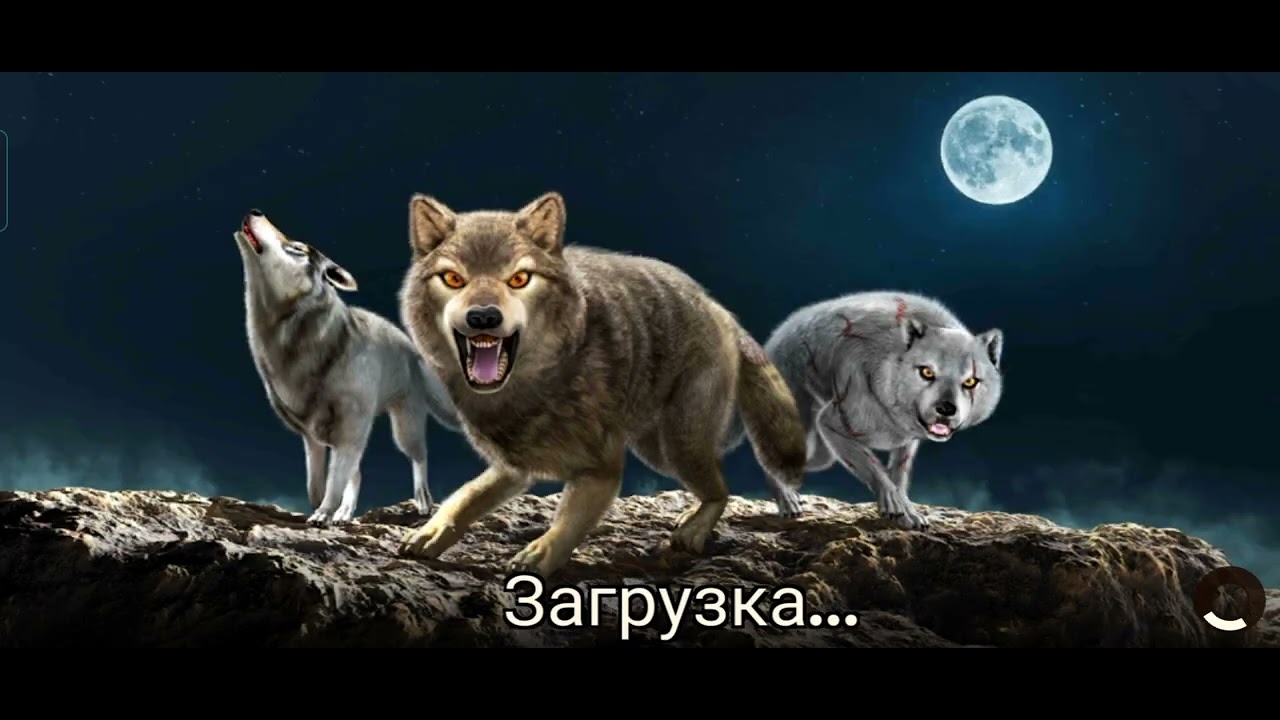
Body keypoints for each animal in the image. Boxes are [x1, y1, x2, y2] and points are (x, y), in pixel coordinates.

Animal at [235, 209, 458, 525]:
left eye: (297, 249)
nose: (255, 211)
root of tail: (411, 347)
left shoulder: (350, 430)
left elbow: (334, 480)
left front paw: (322, 514)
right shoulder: (313, 438)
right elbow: (318, 483)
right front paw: (325, 510)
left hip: (404, 425)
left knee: (419, 456)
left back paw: (423, 500)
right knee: (357, 473)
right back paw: (344, 513)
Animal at [395, 191, 809, 577]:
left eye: (519, 279)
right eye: (453, 279)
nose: (483, 317)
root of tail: (718, 308)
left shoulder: (601, 470)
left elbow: (567, 522)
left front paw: (539, 555)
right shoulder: (513, 466)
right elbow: (465, 497)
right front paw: (432, 532)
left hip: (676, 447)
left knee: (720, 490)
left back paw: (693, 530)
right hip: (655, 447)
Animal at [725, 290, 1004, 528]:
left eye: (970, 381)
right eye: (927, 372)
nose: (946, 408)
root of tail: (771, 342)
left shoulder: (907, 442)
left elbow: (899, 475)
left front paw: (907, 513)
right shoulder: (832, 423)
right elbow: (876, 470)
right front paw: (893, 506)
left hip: (820, 454)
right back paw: (787, 503)